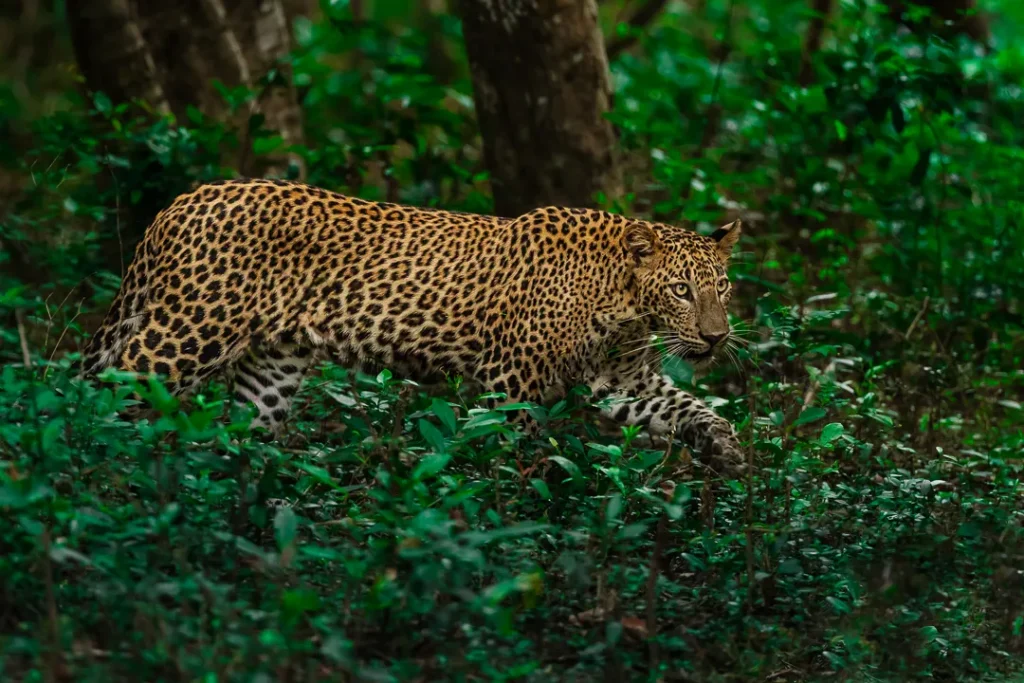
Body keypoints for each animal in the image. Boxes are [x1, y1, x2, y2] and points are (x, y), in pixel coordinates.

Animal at [81, 178, 746, 474]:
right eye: (682, 290)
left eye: (722, 287)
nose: (716, 337)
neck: (624, 305)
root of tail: (182, 201)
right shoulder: (512, 384)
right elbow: (507, 453)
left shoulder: (626, 382)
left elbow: (690, 406)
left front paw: (730, 451)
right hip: (186, 333)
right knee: (103, 392)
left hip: (270, 367)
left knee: (244, 426)